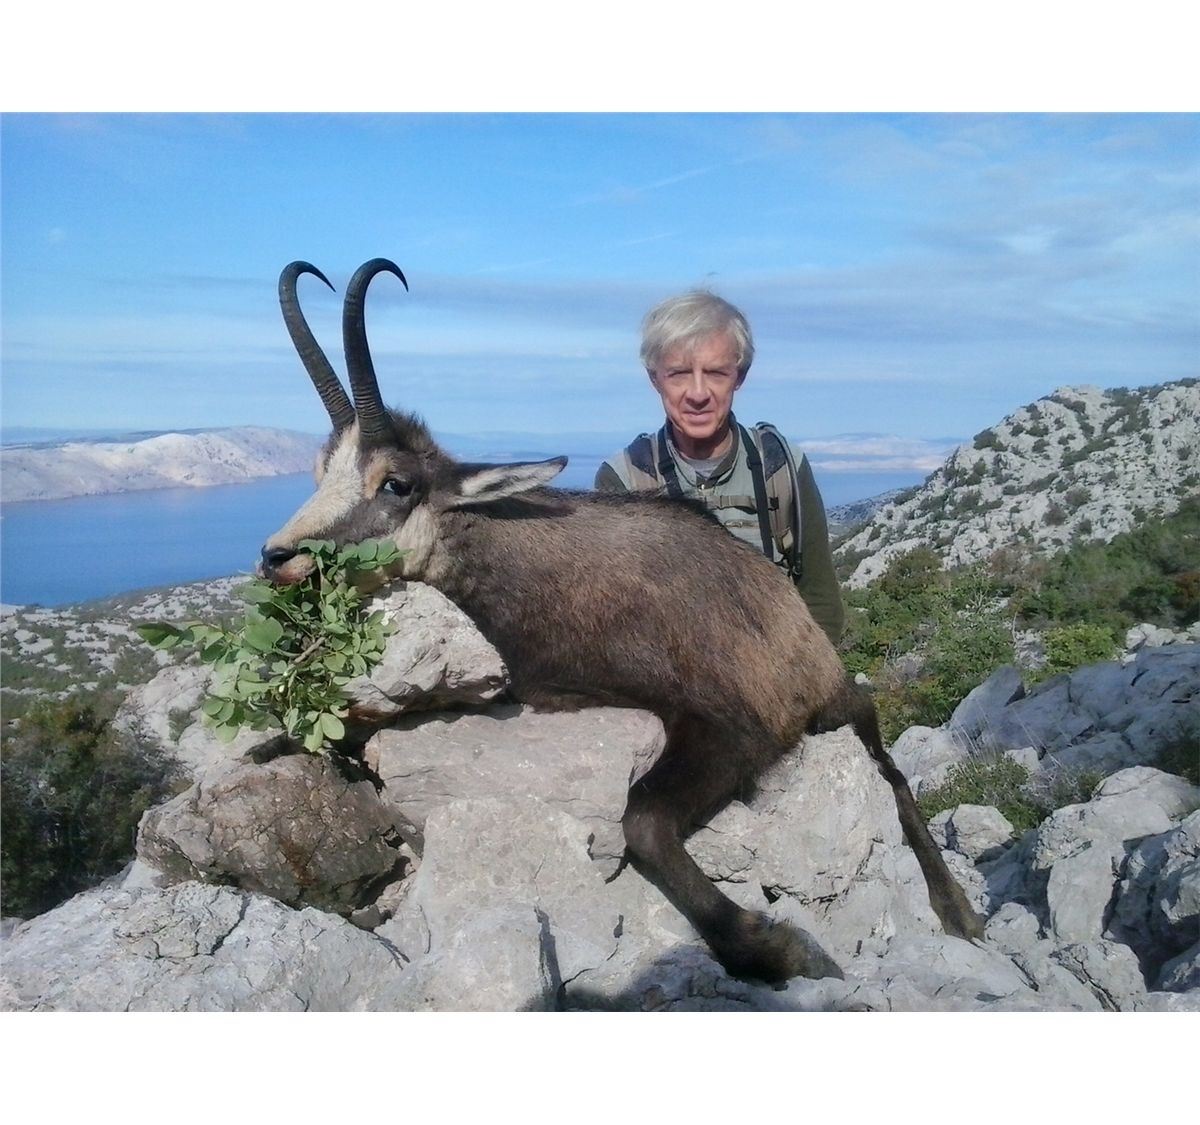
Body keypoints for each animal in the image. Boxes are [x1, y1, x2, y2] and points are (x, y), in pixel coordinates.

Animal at [261, 258, 985, 984]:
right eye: (320, 472)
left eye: (397, 482)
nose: (276, 557)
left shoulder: (734, 722)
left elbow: (643, 823)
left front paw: (778, 947)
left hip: (835, 703)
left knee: (889, 766)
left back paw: (958, 911)